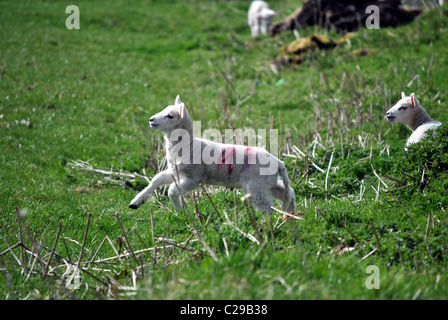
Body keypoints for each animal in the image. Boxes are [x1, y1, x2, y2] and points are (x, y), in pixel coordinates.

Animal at [129, 95, 298, 215]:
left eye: (170, 116)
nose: (151, 120)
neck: (188, 146)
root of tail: (278, 162)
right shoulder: (176, 171)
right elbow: (157, 179)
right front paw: (137, 202)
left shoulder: (196, 177)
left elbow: (171, 190)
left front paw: (179, 211)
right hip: (265, 182)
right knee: (287, 192)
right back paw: (290, 214)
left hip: (255, 184)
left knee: (267, 207)